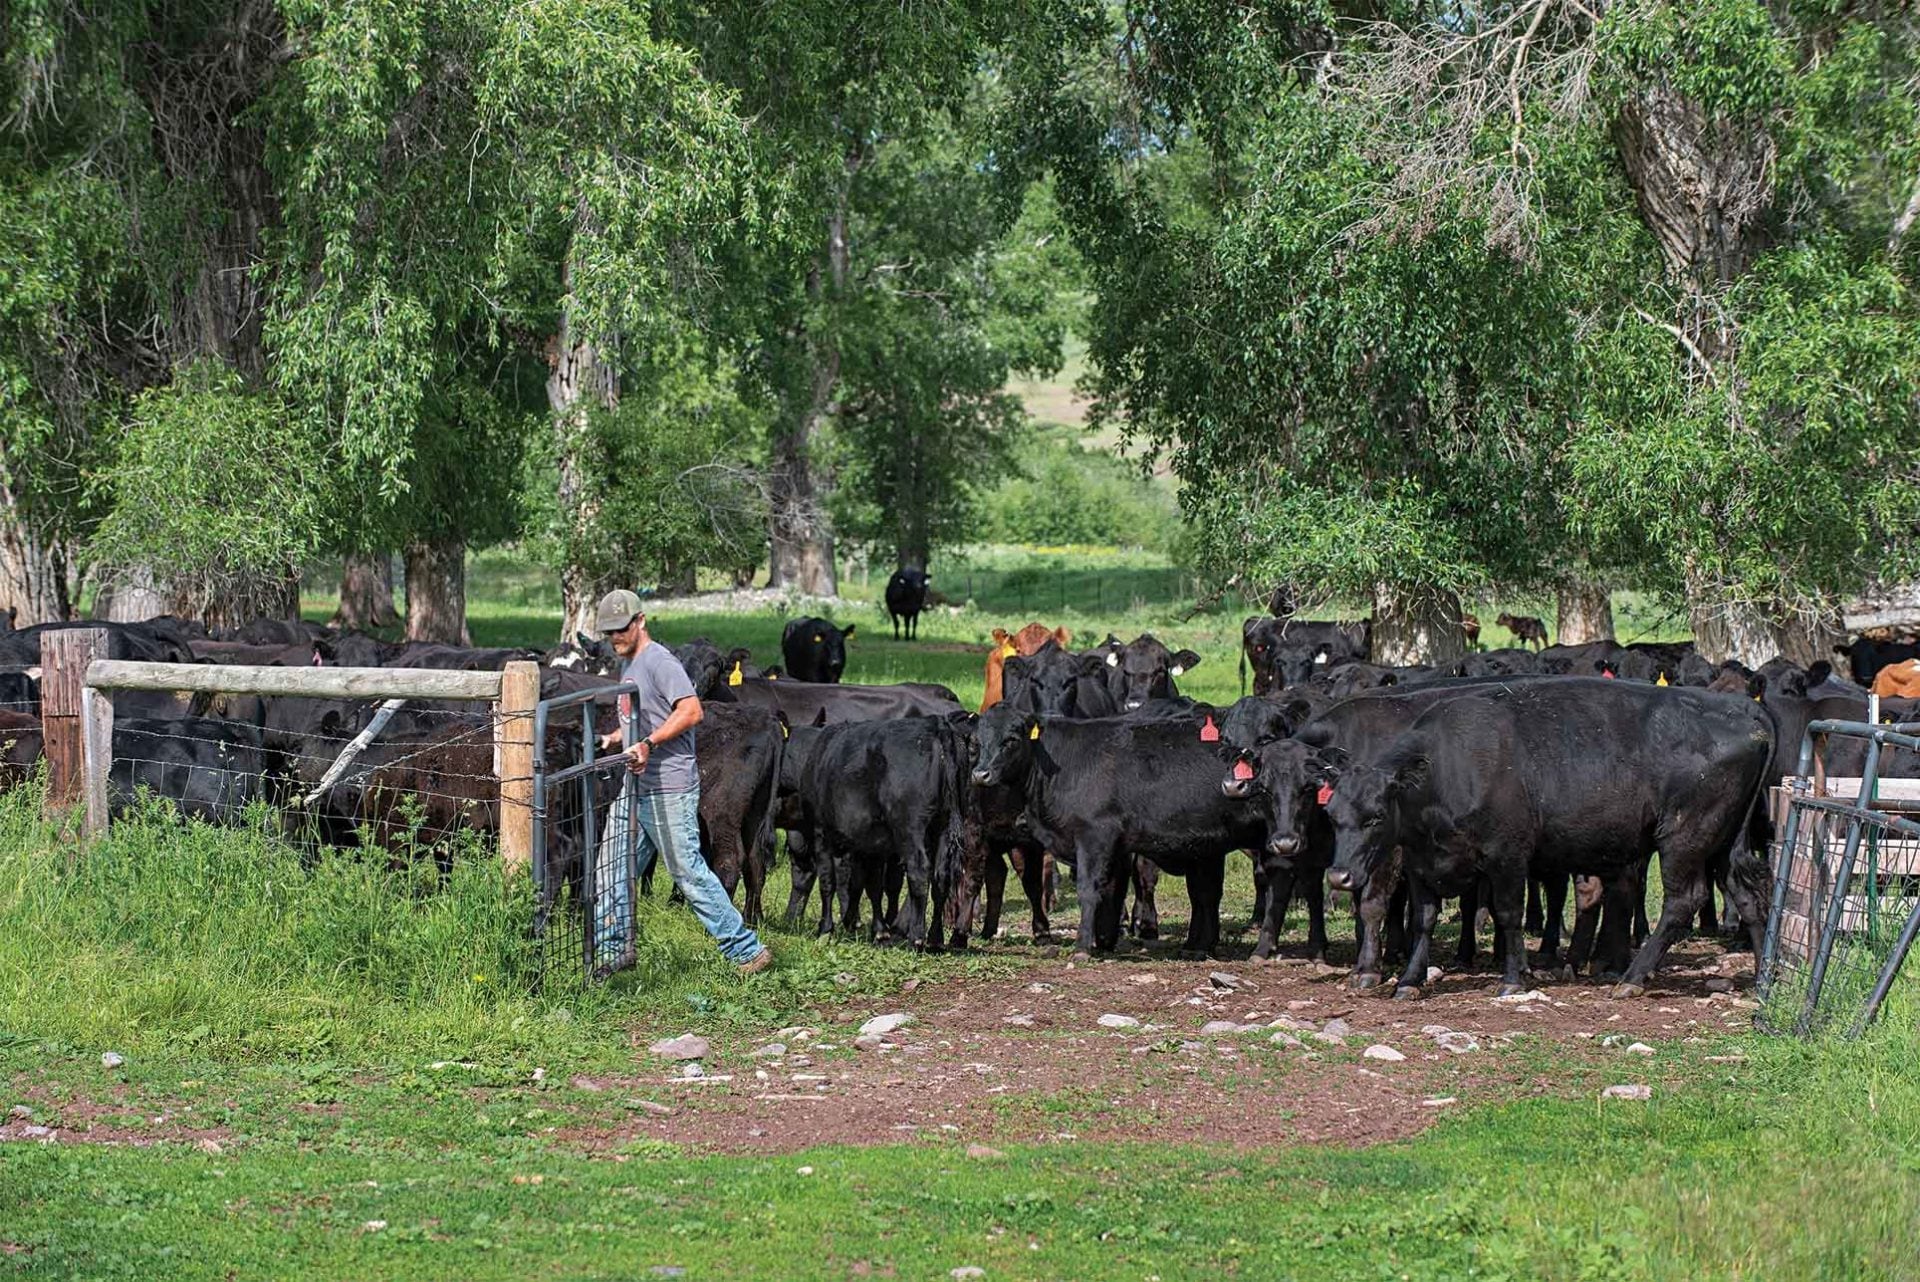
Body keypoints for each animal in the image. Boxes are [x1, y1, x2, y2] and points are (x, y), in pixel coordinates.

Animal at [1320, 675, 1766, 997]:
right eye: (1332, 814)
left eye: (1376, 817)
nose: (1339, 877)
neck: (1450, 769)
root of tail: (1743, 712)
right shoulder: (1419, 861)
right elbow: (1424, 920)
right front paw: (1409, 981)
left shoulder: (1507, 856)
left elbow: (1508, 915)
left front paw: (1513, 978)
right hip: (1723, 842)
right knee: (1746, 896)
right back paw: (1764, 977)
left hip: (1684, 837)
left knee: (1682, 901)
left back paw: (1631, 978)